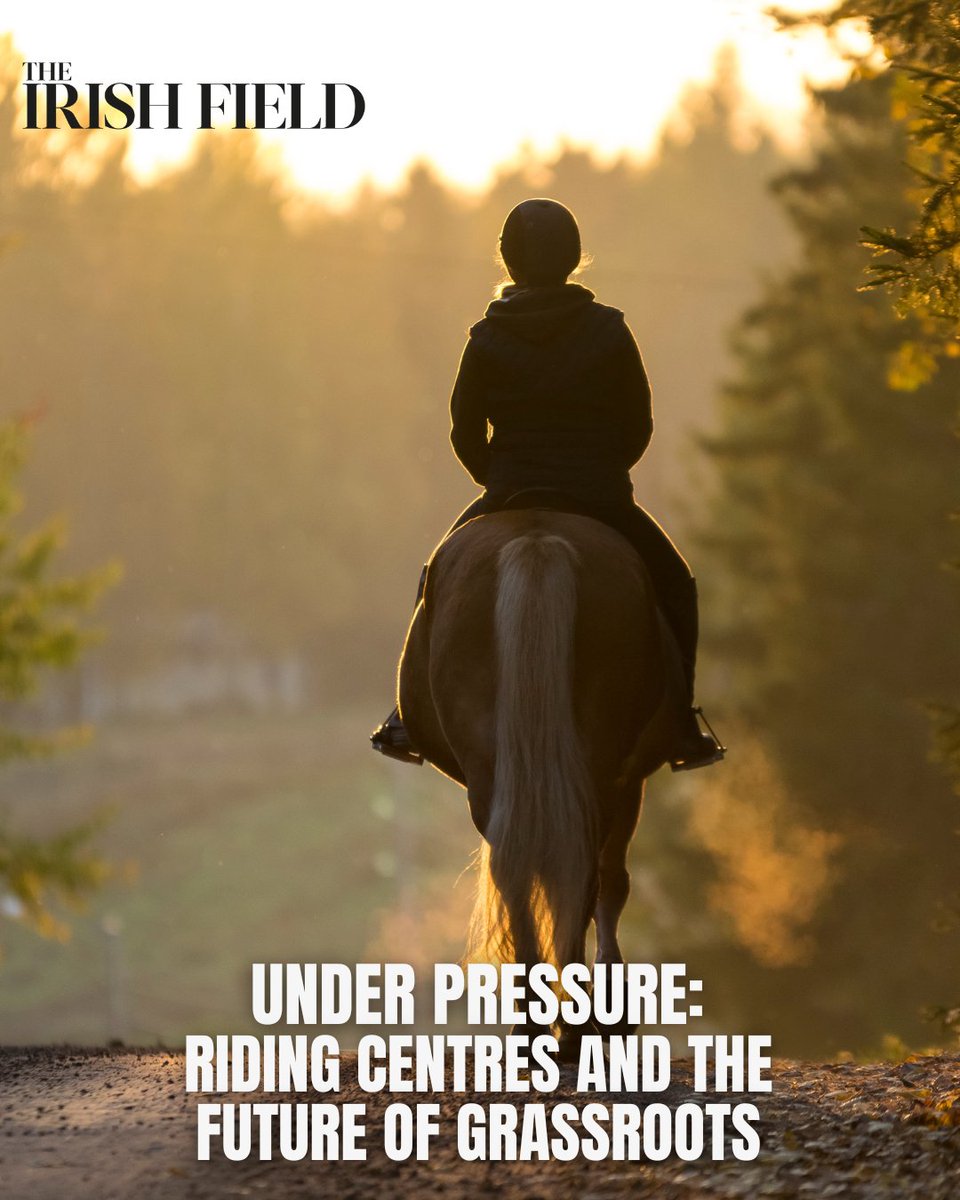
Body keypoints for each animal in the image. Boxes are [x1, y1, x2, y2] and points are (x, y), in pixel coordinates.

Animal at [397, 506, 685, 1047]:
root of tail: (535, 540)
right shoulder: (628, 781)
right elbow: (613, 884)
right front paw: (611, 1010)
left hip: (494, 768)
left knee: (517, 869)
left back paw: (534, 1024)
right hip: (601, 769)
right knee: (585, 873)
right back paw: (572, 1029)